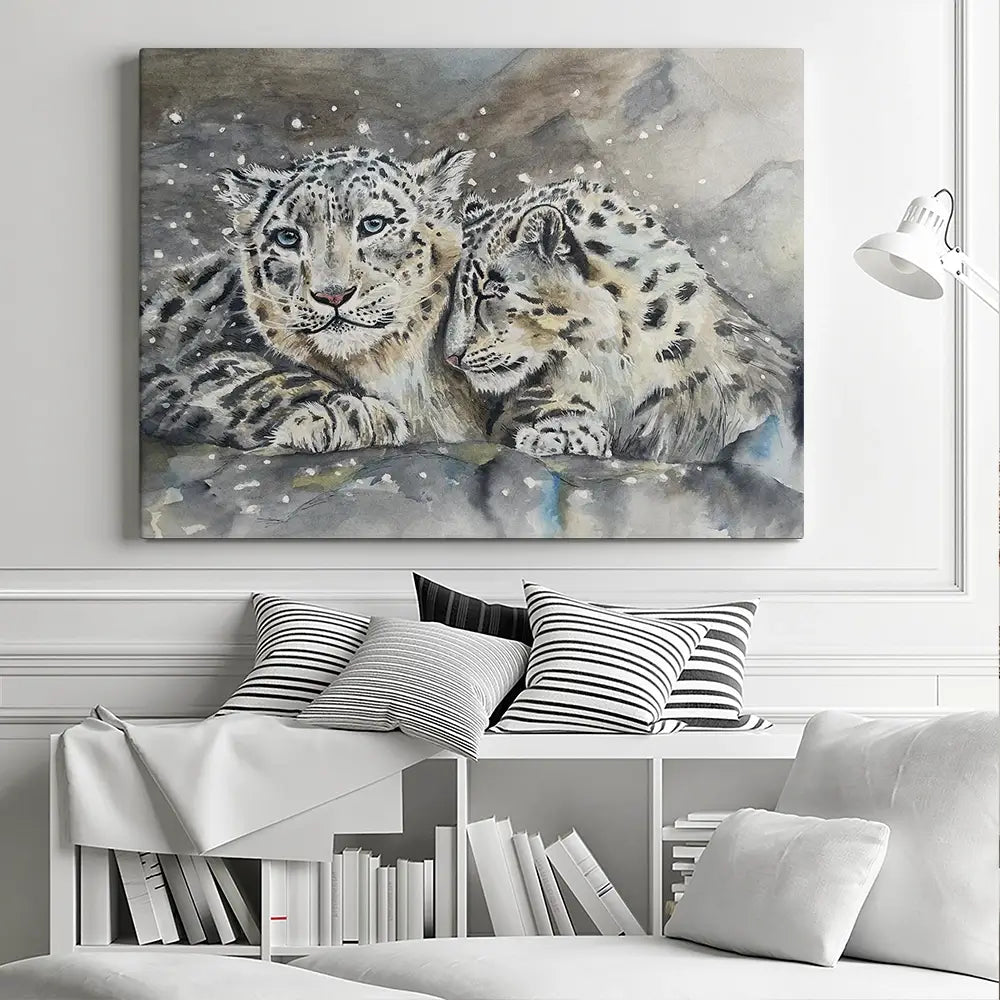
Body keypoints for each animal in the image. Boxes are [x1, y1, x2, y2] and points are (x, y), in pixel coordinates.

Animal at [140, 146, 485, 453]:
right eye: (287, 237)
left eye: (373, 224)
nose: (332, 294)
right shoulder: (176, 369)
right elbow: (256, 379)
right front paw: (352, 414)